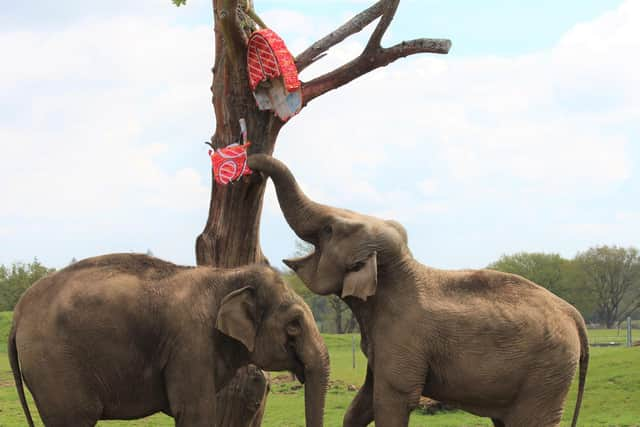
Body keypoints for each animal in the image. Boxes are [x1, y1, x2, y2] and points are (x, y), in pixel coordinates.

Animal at [8, 254, 330, 427]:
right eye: (294, 326)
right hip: (55, 366)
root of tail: (17, 314)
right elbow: (195, 412)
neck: (227, 276)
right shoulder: (190, 343)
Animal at [248, 155, 588, 427]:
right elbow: (362, 403)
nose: (250, 160)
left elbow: (392, 400)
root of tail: (574, 315)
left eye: (329, 230)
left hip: (546, 377)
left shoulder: (403, 337)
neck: (399, 271)